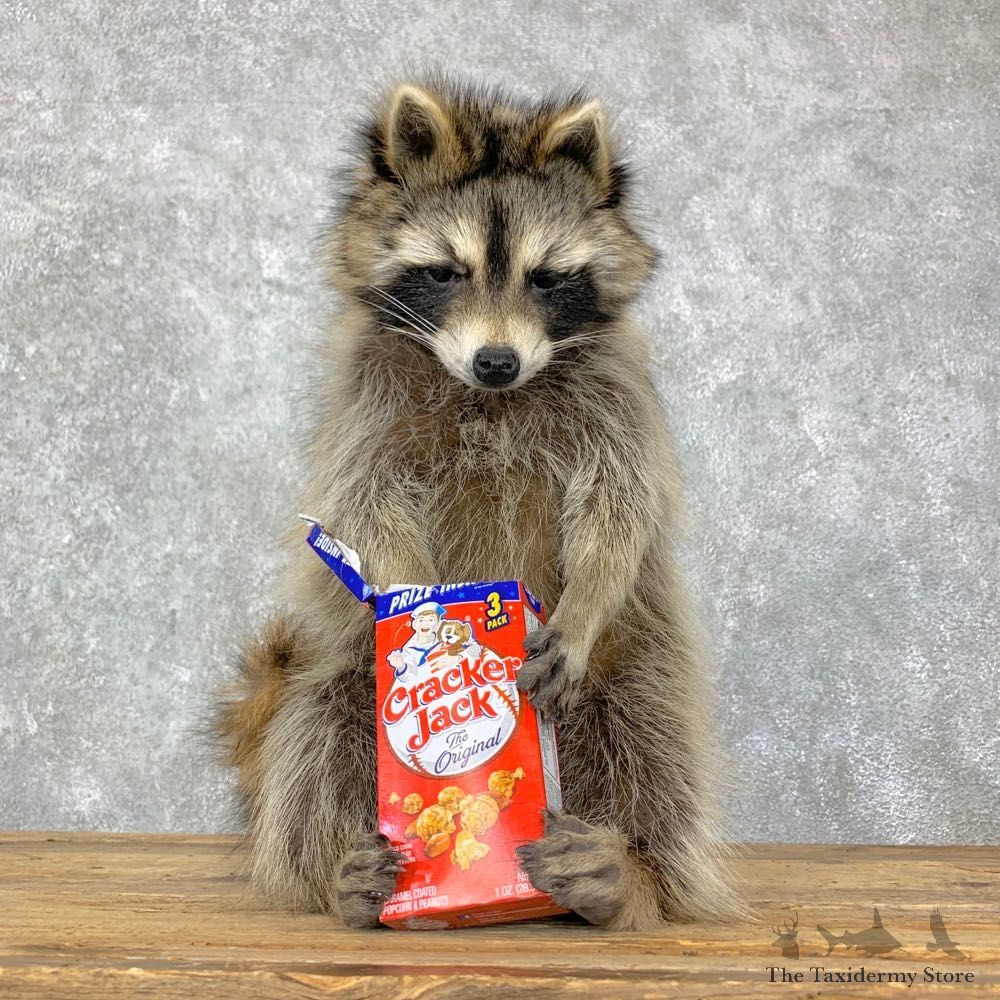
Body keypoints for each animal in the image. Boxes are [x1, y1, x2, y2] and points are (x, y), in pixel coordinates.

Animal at [213, 79, 741, 931]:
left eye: (547, 276)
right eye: (443, 271)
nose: (497, 362)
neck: (491, 397)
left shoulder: (615, 389)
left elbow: (619, 504)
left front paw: (586, 599)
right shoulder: (368, 395)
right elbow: (369, 497)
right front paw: (416, 600)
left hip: (642, 661)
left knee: (655, 746)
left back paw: (632, 877)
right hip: (330, 673)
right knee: (317, 736)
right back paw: (338, 876)